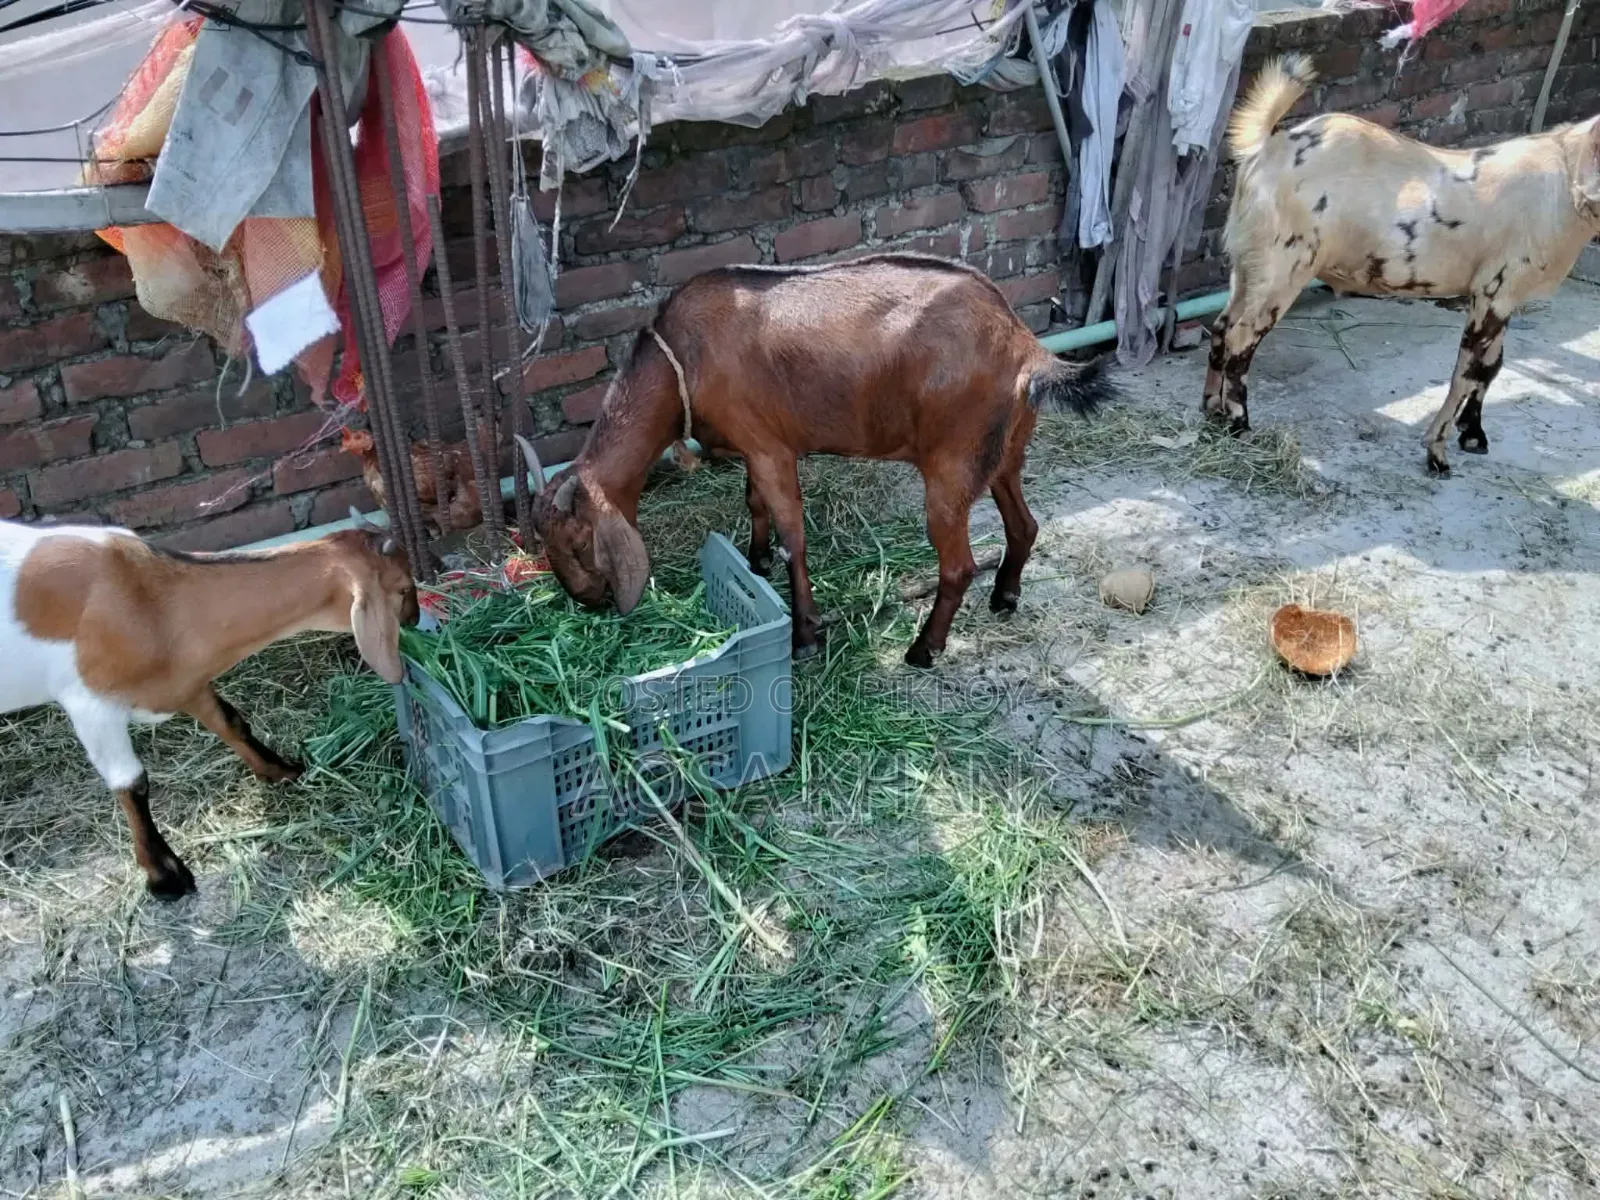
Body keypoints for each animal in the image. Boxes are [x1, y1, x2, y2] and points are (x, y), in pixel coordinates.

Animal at [0, 514, 418, 899]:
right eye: (402, 587)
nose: (415, 620)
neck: (153, 601)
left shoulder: (187, 681)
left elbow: (231, 721)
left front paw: (280, 770)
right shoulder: (90, 703)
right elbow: (131, 783)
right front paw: (165, 876)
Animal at [514, 253, 1108, 668]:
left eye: (578, 540)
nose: (587, 600)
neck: (682, 357)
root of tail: (1024, 345)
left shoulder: (771, 448)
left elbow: (793, 535)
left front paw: (804, 634)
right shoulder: (754, 446)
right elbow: (753, 503)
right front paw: (755, 561)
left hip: (951, 466)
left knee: (958, 566)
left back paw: (923, 650)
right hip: (1005, 454)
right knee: (1024, 525)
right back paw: (1005, 596)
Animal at [1212, 55, 1600, 474]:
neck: (1563, 185)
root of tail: (1270, 147)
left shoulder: (1506, 296)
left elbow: (1491, 366)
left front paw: (1473, 436)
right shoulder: (1494, 290)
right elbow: (1466, 373)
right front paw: (1438, 454)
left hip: (1248, 264)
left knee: (1222, 327)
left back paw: (1211, 413)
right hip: (1284, 266)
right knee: (1242, 336)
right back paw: (1238, 425)